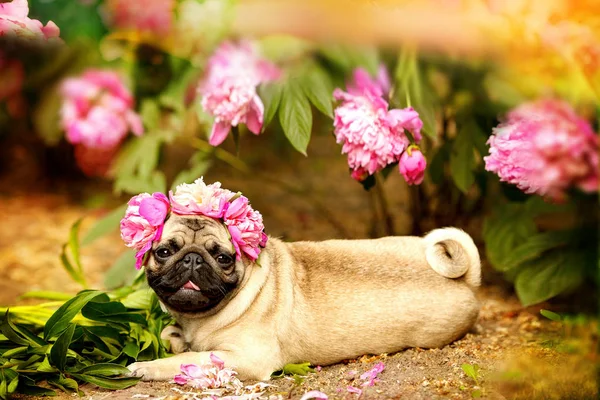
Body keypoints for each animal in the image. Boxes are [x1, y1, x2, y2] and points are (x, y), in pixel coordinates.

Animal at [129, 214, 480, 380]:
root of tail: (466, 280)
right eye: (164, 252)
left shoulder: (247, 358)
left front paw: (147, 366)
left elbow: (190, 359)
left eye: (223, 258)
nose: (192, 258)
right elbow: (174, 338)